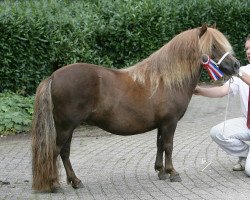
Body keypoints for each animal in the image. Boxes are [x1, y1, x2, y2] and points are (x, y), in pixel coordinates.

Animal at [31, 25, 240, 192]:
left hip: (69, 127)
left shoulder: (161, 124)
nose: (237, 65)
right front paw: (172, 172)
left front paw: (161, 171)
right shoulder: (170, 122)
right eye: (213, 46)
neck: (167, 80)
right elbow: (169, 146)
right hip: (65, 127)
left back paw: (75, 181)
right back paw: (54, 184)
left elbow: (159, 145)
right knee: (54, 152)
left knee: (64, 153)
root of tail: (53, 77)